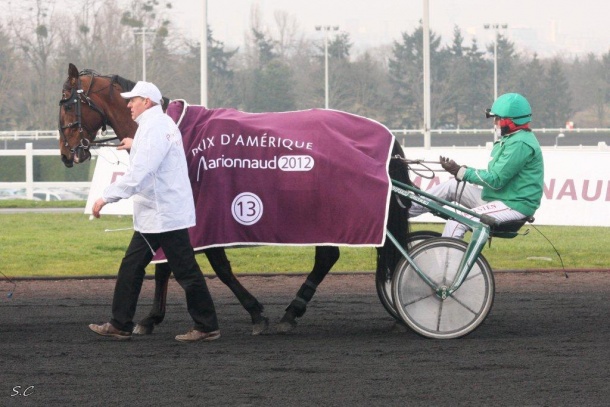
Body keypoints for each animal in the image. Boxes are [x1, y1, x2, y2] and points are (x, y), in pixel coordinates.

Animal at [58, 63, 411, 335]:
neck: (177, 131)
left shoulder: (204, 215)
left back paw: (292, 312)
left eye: (65, 103)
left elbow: (216, 268)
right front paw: (150, 318)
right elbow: (166, 264)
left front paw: (255, 314)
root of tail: (385, 137)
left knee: (329, 257)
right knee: (334, 256)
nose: (65, 154)